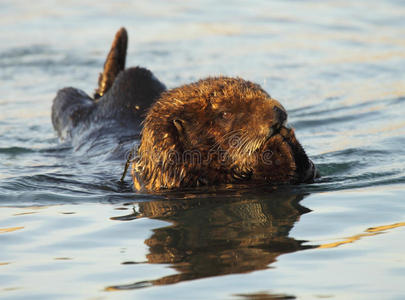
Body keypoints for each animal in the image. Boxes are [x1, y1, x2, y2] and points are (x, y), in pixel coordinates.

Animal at [50, 28, 318, 192]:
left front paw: (286, 137)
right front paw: (275, 145)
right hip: (67, 105)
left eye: (265, 93)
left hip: (140, 76)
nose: (278, 112)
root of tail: (106, 96)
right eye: (225, 114)